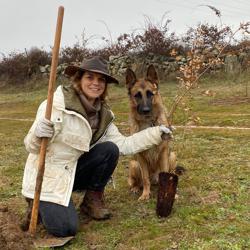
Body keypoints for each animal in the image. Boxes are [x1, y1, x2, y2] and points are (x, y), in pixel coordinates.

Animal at [125, 65, 176, 201]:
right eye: (137, 95)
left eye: (150, 94)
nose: (146, 110)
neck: (148, 124)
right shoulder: (141, 157)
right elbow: (145, 178)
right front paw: (145, 194)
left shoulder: (164, 153)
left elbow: (166, 174)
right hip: (134, 164)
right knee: (137, 181)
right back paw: (136, 188)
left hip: (172, 156)